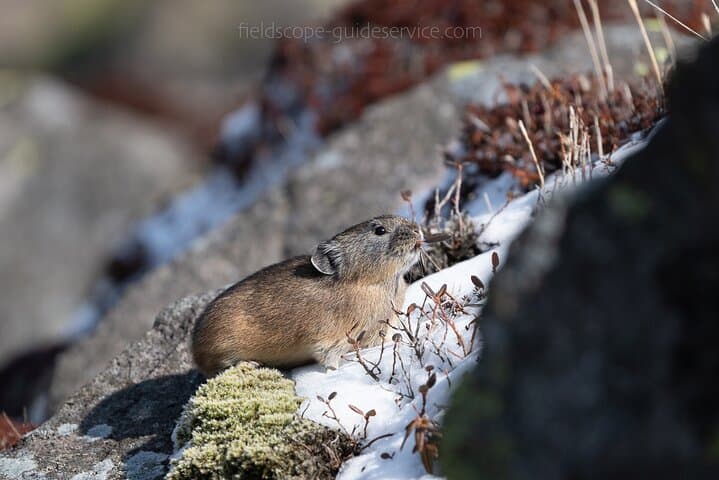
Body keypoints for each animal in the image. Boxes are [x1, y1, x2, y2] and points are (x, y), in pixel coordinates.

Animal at [191, 214, 437, 377]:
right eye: (379, 230)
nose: (417, 230)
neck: (369, 284)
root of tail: (195, 345)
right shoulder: (328, 340)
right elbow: (329, 360)